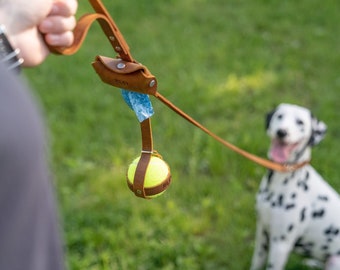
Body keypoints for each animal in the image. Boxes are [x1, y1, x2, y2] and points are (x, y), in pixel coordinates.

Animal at [250, 104, 340, 270]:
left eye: (300, 122)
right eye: (280, 116)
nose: (282, 132)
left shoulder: (280, 245)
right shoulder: (262, 234)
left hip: (335, 261)